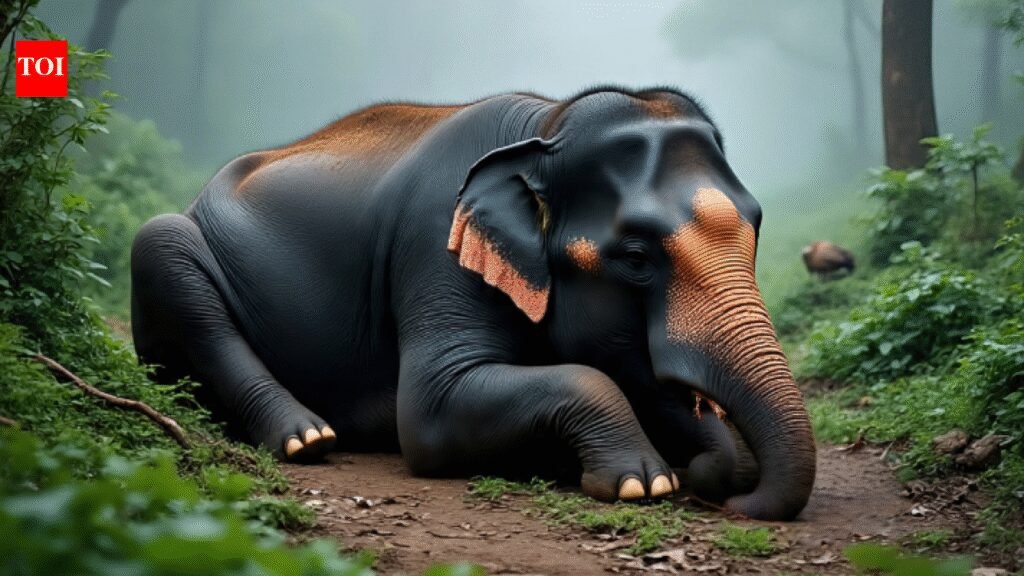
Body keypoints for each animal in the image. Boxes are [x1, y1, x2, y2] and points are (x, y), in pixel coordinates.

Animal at [130, 87, 816, 521]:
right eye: (637, 257)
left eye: (758, 225)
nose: (735, 502)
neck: (544, 128)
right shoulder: (435, 246)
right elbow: (431, 413)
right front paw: (641, 481)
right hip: (175, 245)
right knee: (162, 249)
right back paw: (308, 438)